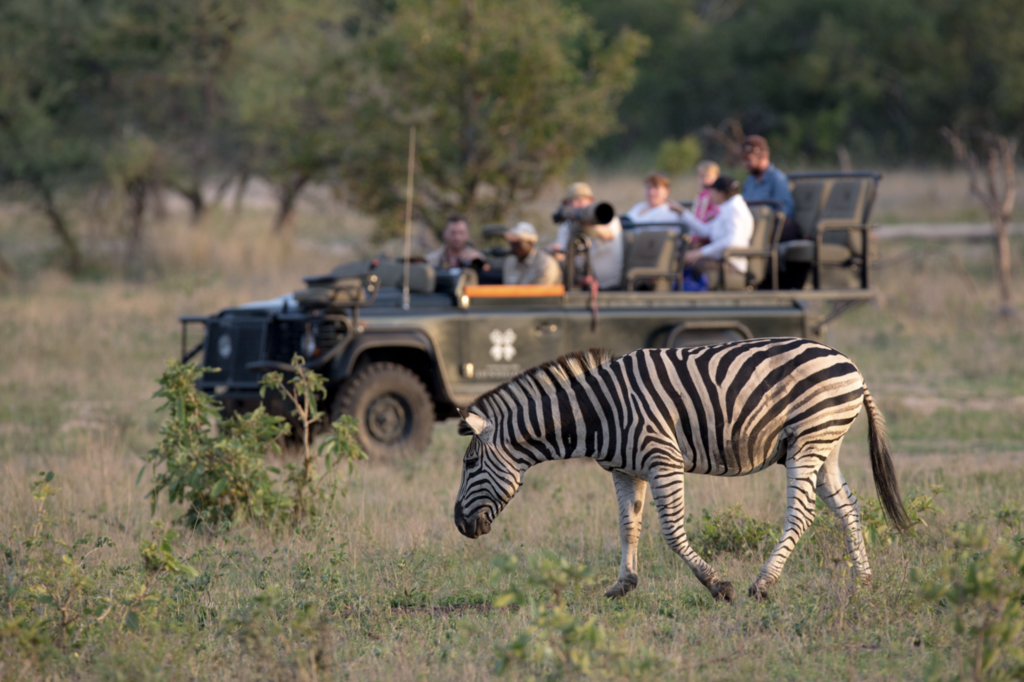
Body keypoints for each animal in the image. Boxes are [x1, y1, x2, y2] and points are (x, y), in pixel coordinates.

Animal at [452, 337, 909, 598]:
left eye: (470, 462)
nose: (459, 524)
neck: (595, 413)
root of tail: (850, 364)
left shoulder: (663, 458)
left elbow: (671, 531)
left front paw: (718, 585)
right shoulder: (625, 469)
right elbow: (629, 526)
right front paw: (623, 585)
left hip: (809, 440)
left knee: (802, 513)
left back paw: (763, 584)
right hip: (824, 444)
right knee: (847, 508)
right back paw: (863, 582)